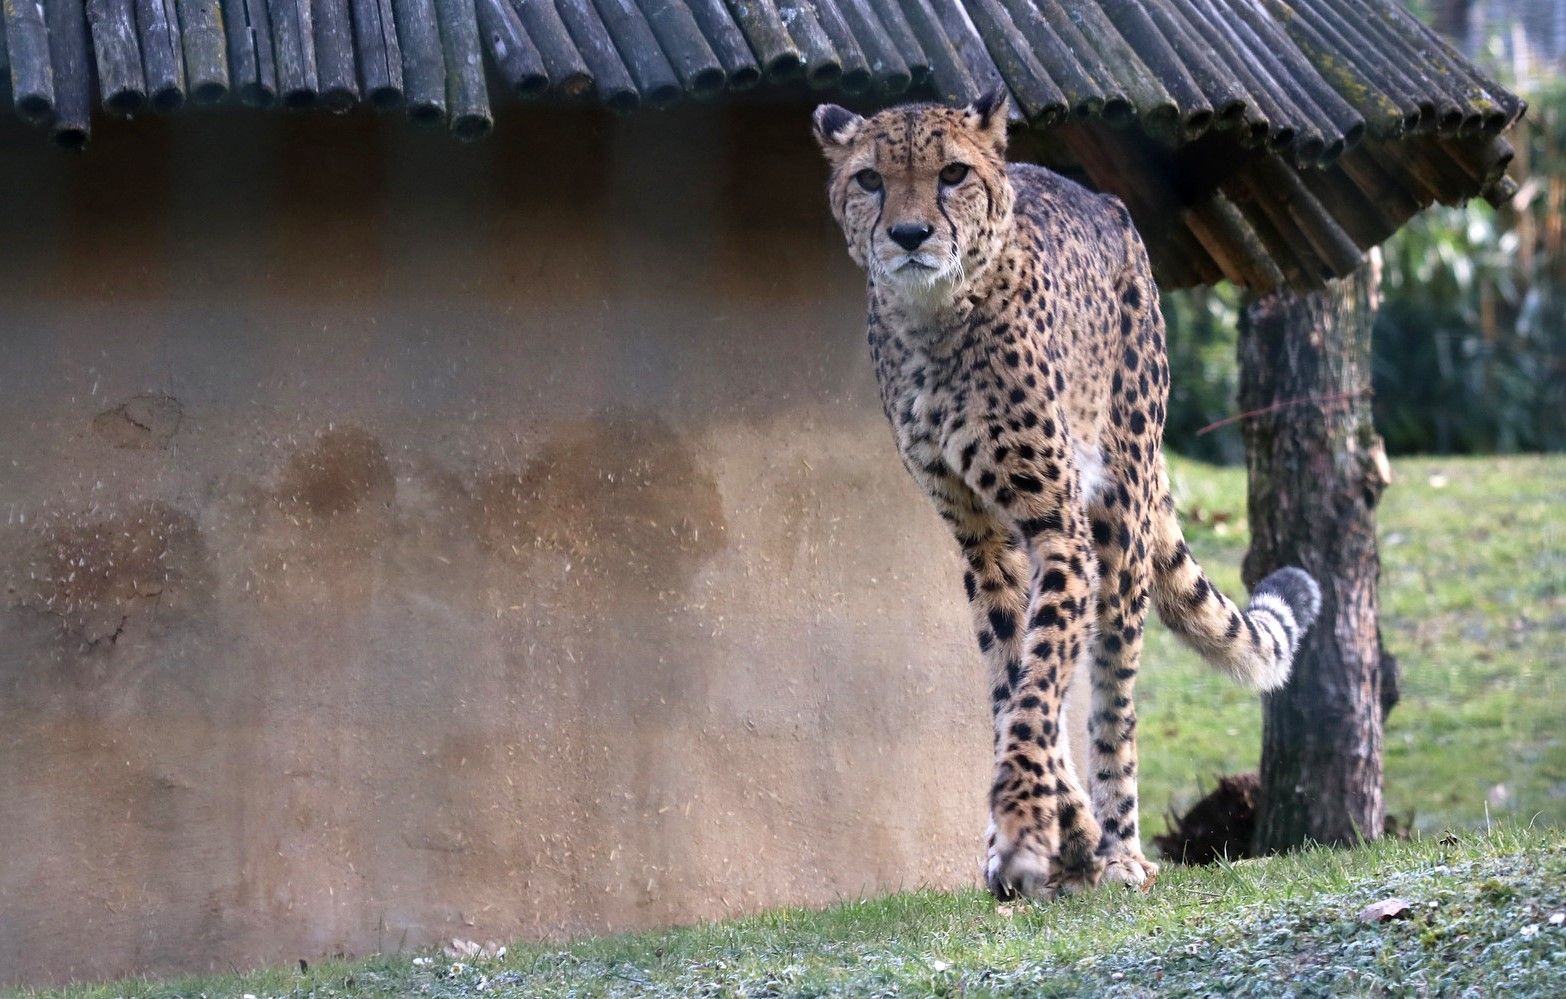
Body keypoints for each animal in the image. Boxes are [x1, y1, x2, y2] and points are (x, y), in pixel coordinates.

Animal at [812, 90, 1323, 900]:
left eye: (953, 173)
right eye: (869, 179)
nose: (910, 233)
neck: (934, 321)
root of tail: (1108, 203)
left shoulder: (1059, 527)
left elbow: (1043, 679)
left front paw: (1031, 823)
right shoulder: (979, 539)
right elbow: (1012, 679)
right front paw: (1051, 830)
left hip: (1120, 514)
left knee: (1114, 691)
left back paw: (1121, 850)